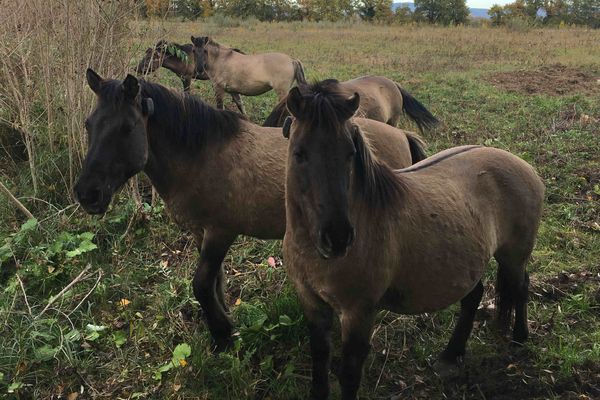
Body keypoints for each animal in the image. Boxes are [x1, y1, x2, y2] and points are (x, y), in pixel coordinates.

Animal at [282, 82, 544, 400]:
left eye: (349, 153)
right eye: (299, 153)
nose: (338, 237)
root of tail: (525, 167)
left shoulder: (358, 312)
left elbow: (350, 373)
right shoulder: (312, 303)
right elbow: (319, 361)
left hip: (513, 256)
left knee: (521, 286)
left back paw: (519, 338)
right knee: (474, 296)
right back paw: (451, 355)